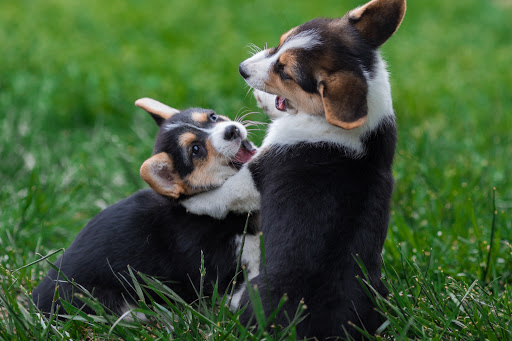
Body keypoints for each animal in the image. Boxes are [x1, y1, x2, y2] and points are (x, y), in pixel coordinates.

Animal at [182, 0, 406, 338]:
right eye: (281, 40)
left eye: (285, 71)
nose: (242, 69)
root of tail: (319, 328)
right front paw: (267, 100)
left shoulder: (254, 176)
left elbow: (220, 196)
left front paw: (187, 202)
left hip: (256, 292)